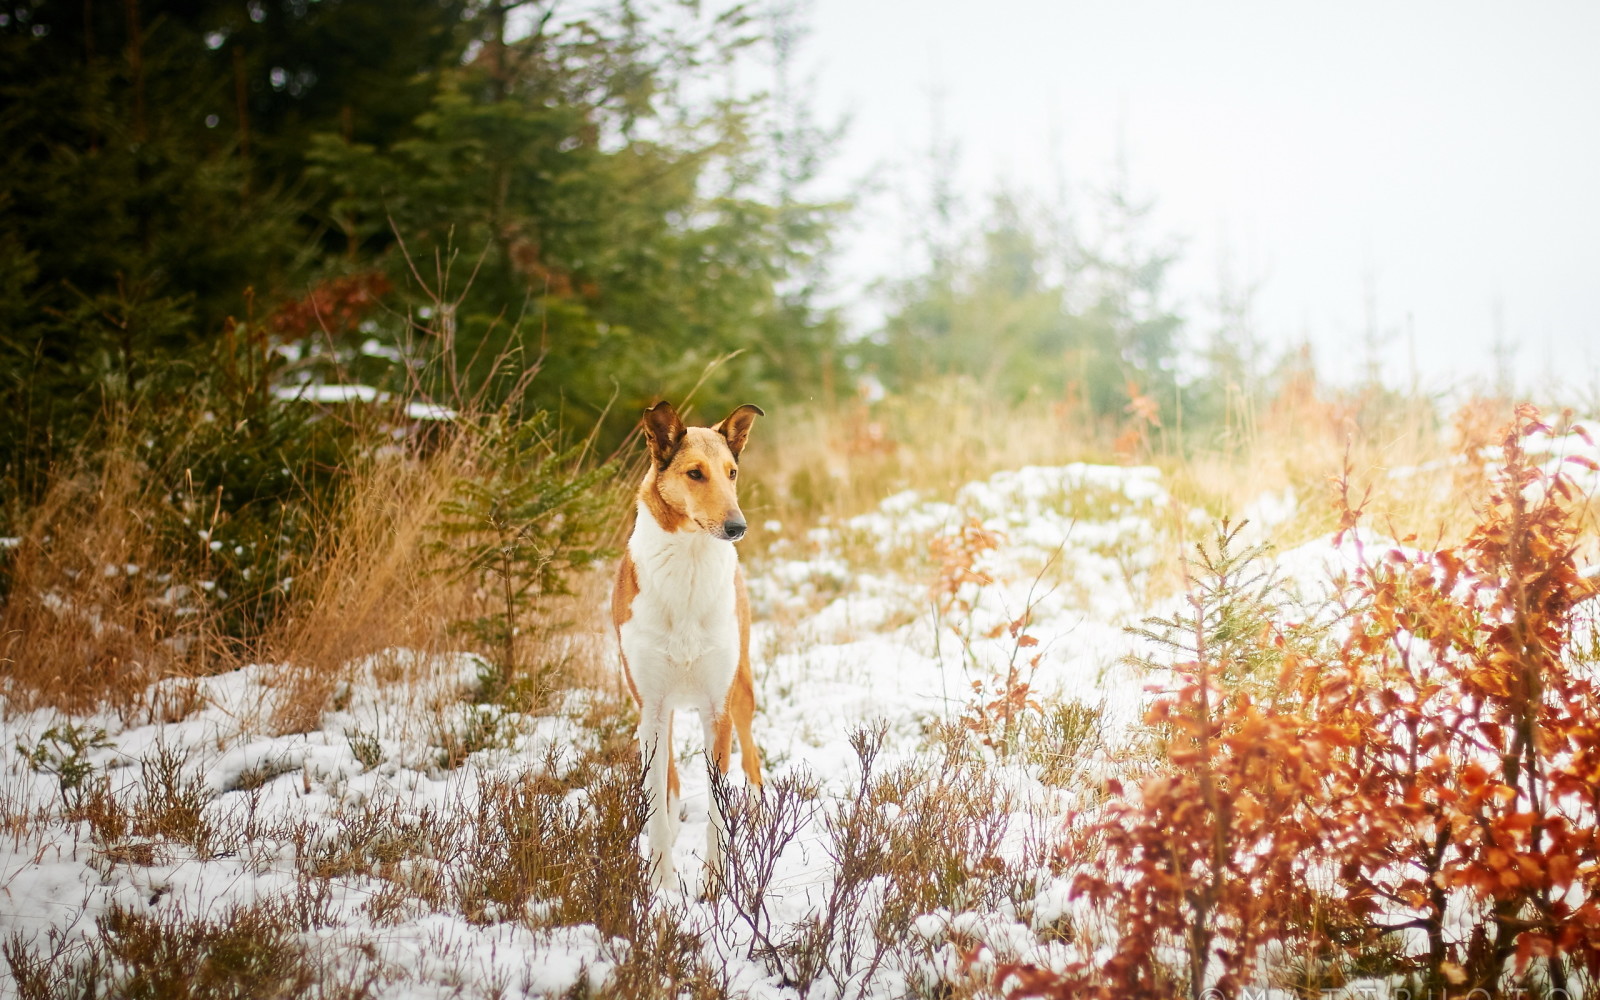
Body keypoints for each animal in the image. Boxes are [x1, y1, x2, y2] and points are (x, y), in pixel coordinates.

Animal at [608, 398, 764, 889]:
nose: (737, 527)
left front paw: (715, 884)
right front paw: (661, 885)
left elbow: (718, 804)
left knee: (752, 759)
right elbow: (655, 798)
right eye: (695, 473)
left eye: (732, 472)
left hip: (742, 689)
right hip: (655, 707)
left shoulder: (718, 708)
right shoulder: (652, 706)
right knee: (668, 776)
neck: (690, 566)